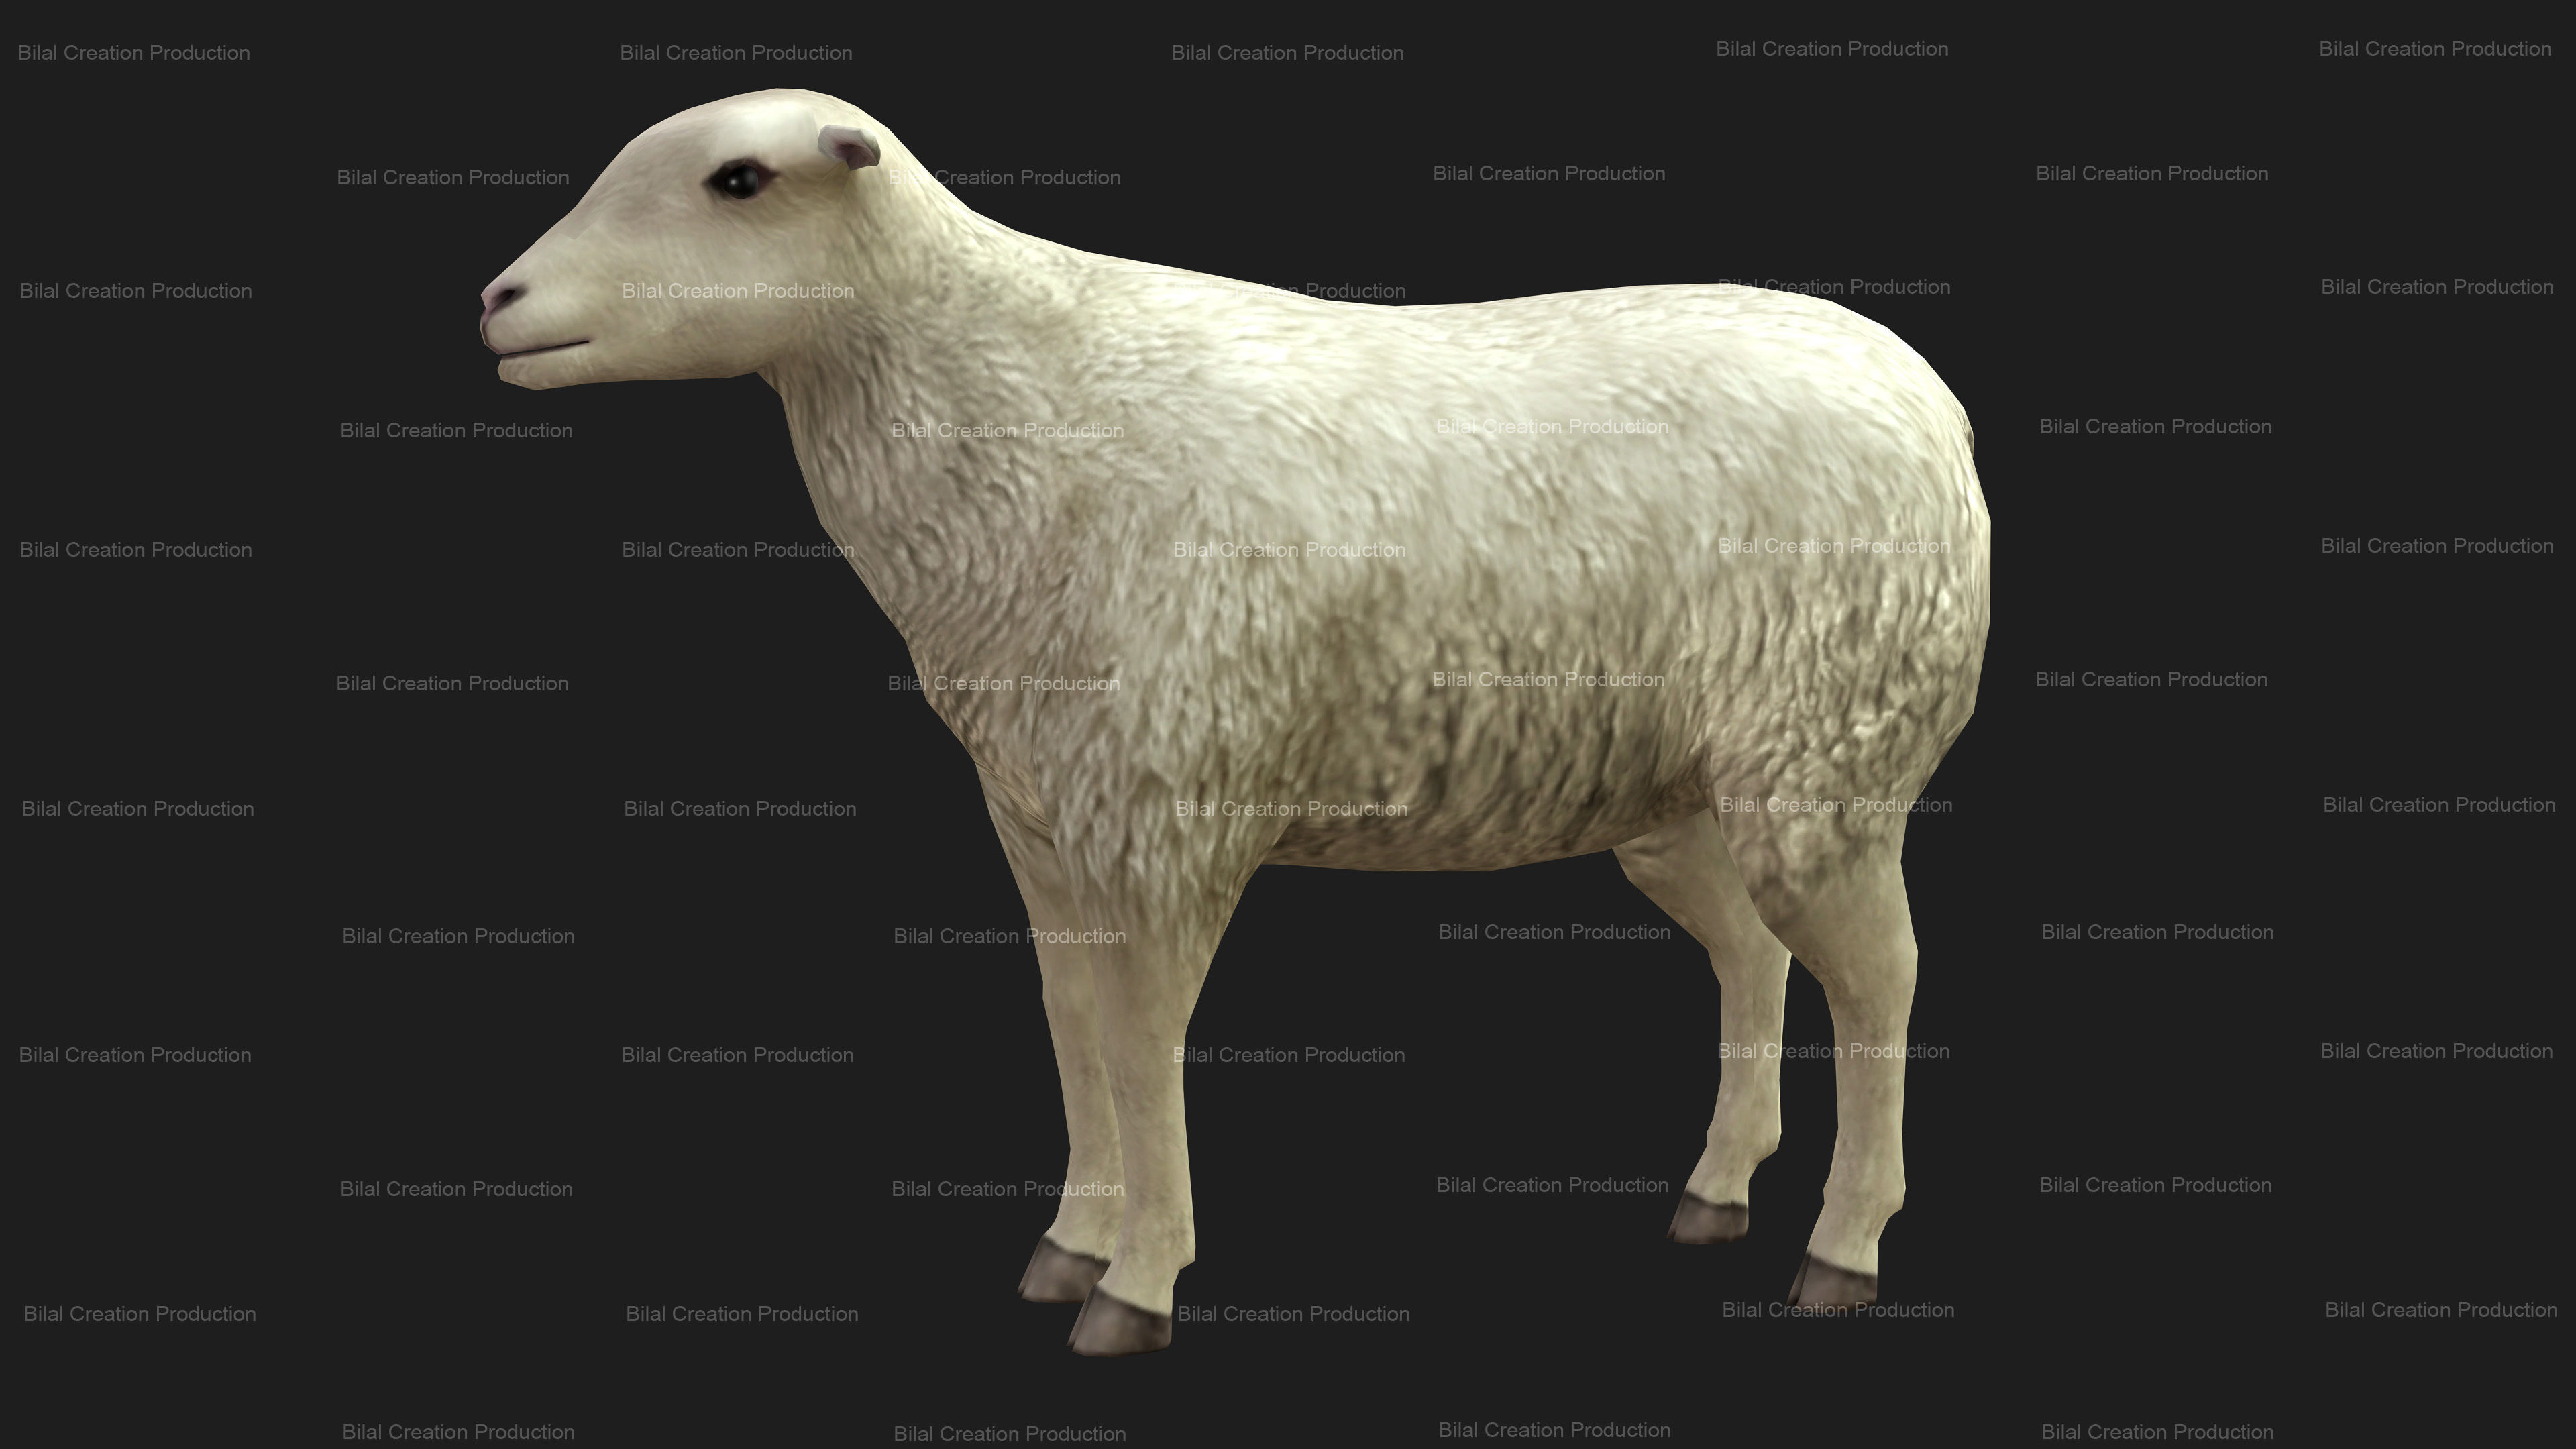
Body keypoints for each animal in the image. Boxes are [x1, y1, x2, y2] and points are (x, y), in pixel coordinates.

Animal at [482, 89, 1990, 1355]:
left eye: (737, 179)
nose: (498, 301)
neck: (1012, 408)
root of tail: (1928, 396)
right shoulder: (1045, 823)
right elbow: (1073, 1026)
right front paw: (1071, 1245)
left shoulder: (1168, 812)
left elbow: (1144, 1042)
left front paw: (1137, 1287)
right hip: (1684, 791)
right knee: (1753, 954)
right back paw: (1717, 1191)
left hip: (1832, 750)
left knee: (1881, 977)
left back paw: (1842, 1249)